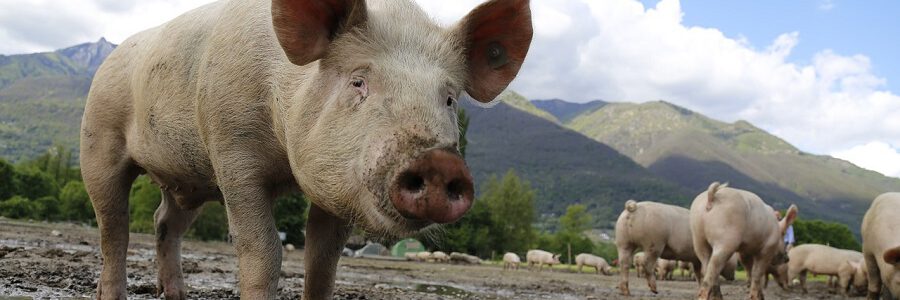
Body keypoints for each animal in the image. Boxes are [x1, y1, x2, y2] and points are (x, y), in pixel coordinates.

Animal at [79, 0, 536, 298]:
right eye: (358, 81)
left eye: (449, 99)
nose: (439, 161)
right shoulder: (232, 152)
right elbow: (263, 252)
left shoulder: (338, 188)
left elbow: (323, 264)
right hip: (98, 139)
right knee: (114, 228)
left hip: (188, 181)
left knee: (164, 224)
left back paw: (176, 295)